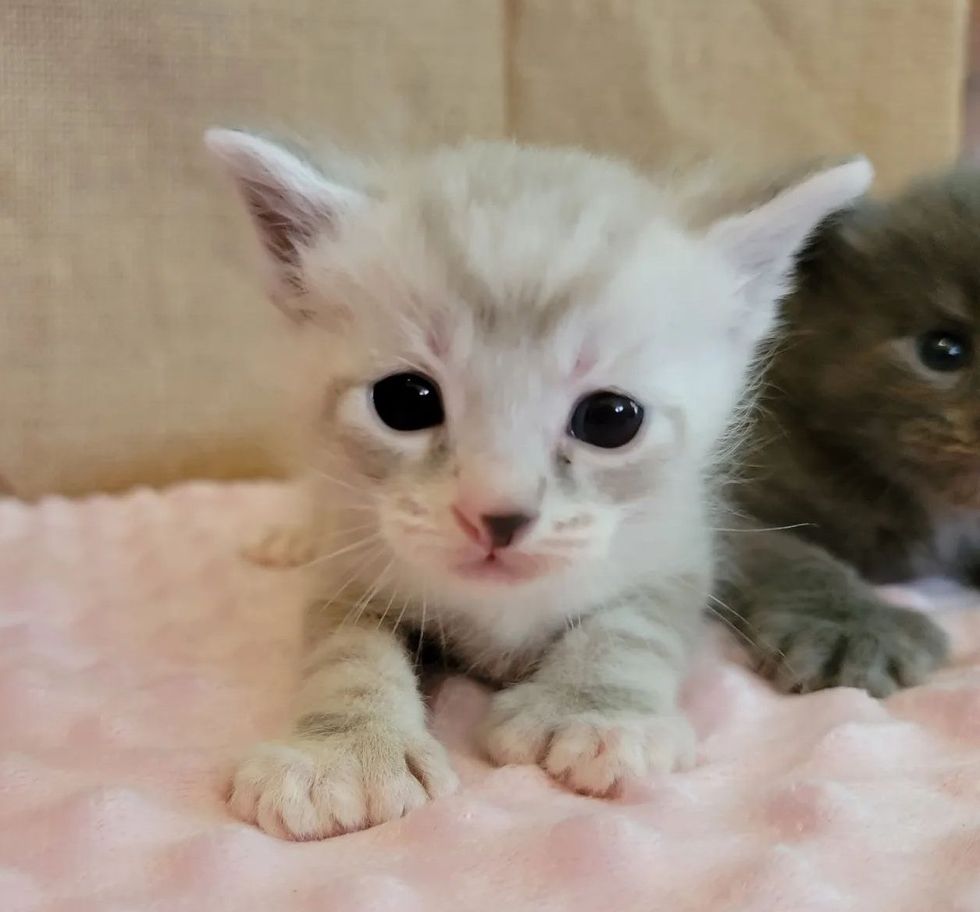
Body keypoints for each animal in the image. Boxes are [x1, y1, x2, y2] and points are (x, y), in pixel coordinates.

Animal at [207, 130, 872, 840]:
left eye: (611, 418)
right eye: (404, 402)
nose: (496, 516)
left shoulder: (677, 546)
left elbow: (630, 628)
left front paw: (596, 714)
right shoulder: (352, 562)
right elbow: (347, 652)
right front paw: (344, 753)